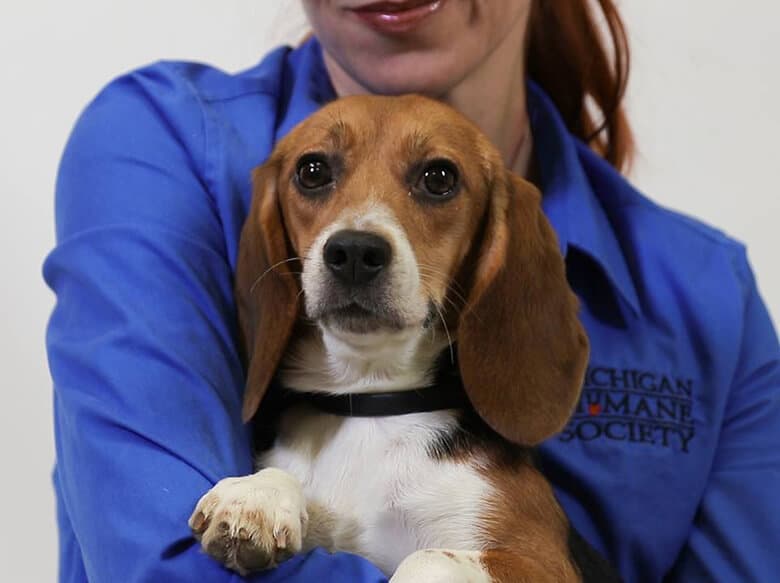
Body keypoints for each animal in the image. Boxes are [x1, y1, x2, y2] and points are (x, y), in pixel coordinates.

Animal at [187, 96, 616, 583]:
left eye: (439, 178)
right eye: (312, 171)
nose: (354, 251)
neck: (369, 399)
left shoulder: (538, 560)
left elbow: (426, 558)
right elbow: (281, 475)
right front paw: (255, 496)